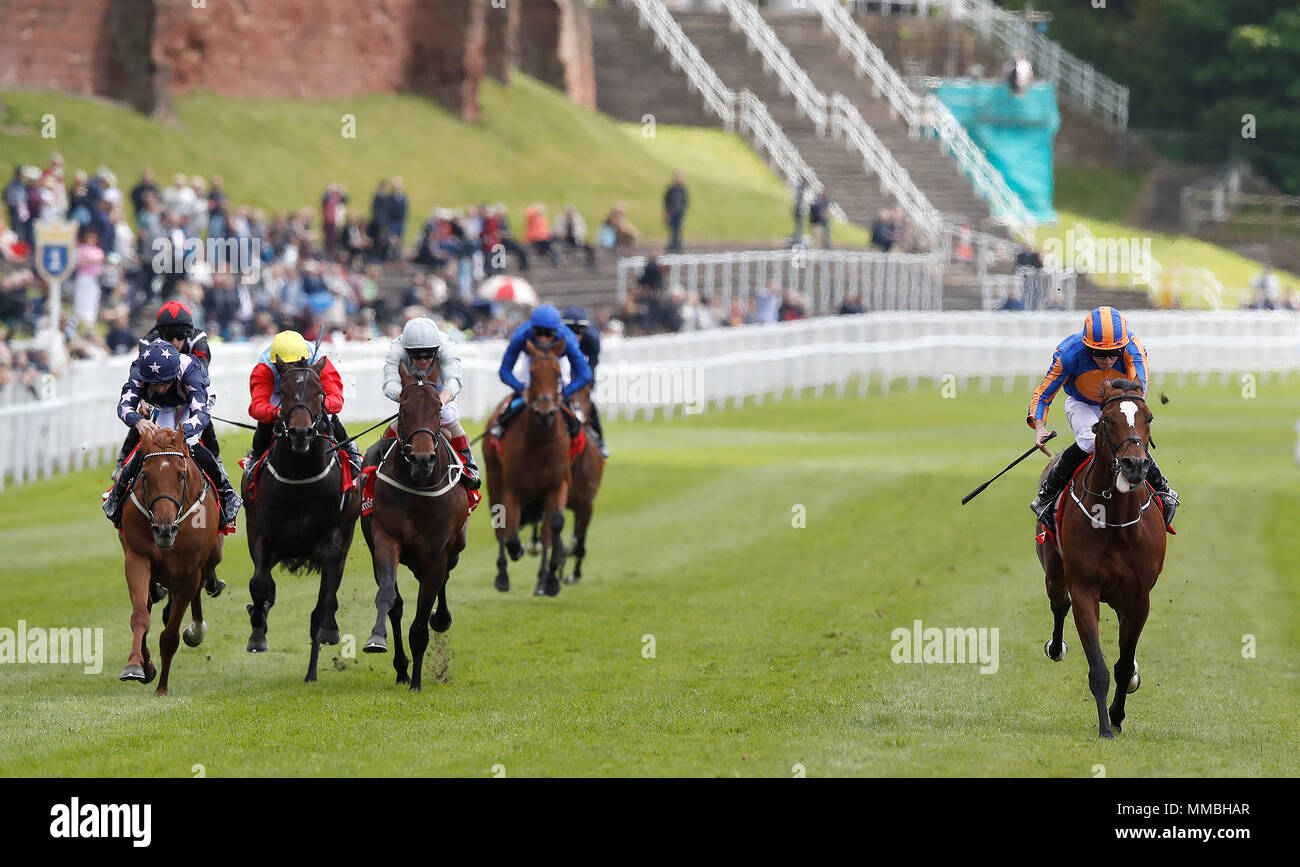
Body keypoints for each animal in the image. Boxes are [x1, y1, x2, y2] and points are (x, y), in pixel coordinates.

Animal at [118, 426, 222, 696]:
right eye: (144, 475)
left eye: (182, 475)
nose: (163, 530)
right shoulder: (137, 559)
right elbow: (140, 616)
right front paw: (137, 666)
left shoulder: (190, 573)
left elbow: (170, 636)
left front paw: (162, 688)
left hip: (212, 557)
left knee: (201, 585)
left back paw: (196, 628)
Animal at [239, 358, 358, 686]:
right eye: (285, 391)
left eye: (320, 392)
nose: (301, 433)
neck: (300, 479)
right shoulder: (263, 535)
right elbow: (259, 583)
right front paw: (257, 632)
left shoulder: (333, 538)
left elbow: (324, 600)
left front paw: (327, 630)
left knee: (327, 596)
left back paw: (313, 667)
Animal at [358, 363, 470, 691]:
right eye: (403, 409)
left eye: (437, 409)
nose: (422, 459)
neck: (418, 488)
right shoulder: (384, 541)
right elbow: (389, 598)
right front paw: (378, 640)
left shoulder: (436, 555)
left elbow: (421, 622)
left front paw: (417, 682)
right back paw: (401, 667)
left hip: (455, 548)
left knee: (445, 580)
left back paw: (441, 619)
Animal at [483, 335, 574, 592]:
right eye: (532, 374)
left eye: (557, 374)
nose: (545, 412)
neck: (539, 443)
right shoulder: (512, 489)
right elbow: (510, 534)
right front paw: (515, 557)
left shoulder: (557, 485)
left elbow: (554, 526)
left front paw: (550, 578)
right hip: (494, 479)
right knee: (500, 527)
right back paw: (503, 574)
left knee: (544, 531)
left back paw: (543, 577)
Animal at [1034, 379, 1170, 738]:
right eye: (1107, 420)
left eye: (1149, 417)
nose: (1135, 465)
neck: (1115, 520)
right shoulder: (1084, 590)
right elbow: (1098, 668)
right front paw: (1106, 728)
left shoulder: (1139, 598)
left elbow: (1122, 666)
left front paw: (1118, 717)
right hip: (1053, 571)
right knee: (1059, 604)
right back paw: (1056, 647)